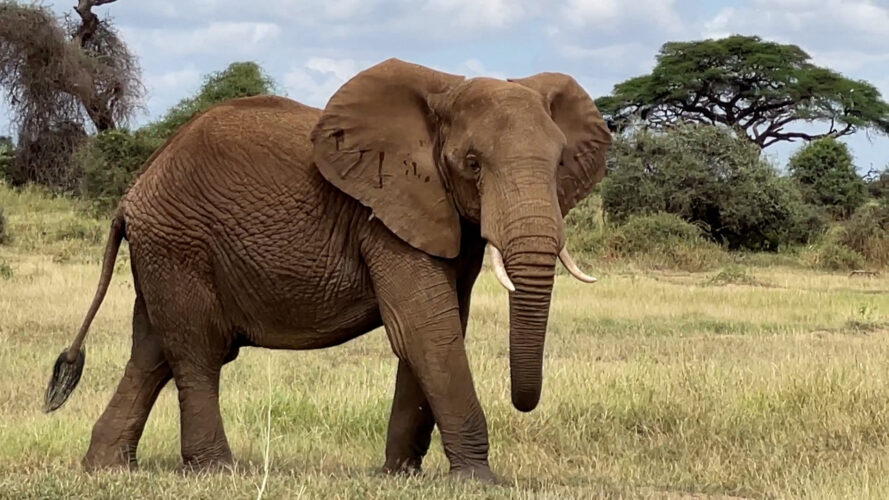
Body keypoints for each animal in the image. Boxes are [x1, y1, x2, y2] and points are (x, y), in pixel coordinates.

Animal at [43, 58, 611, 482]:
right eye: (472, 164)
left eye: (560, 164)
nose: (524, 404)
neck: (444, 92)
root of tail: (131, 194)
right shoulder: (384, 212)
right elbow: (426, 329)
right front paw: (477, 480)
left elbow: (437, 326)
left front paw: (398, 475)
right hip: (180, 245)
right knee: (197, 352)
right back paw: (218, 472)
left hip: (165, 251)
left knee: (151, 353)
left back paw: (106, 469)